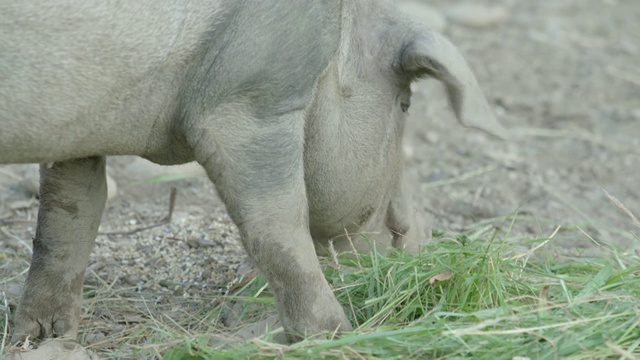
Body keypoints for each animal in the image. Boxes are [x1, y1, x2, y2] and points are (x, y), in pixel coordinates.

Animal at [0, 0, 504, 344]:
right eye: (405, 103)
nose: (424, 236)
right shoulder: (253, 102)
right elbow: (278, 227)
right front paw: (336, 334)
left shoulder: (74, 131)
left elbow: (71, 211)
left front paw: (43, 335)